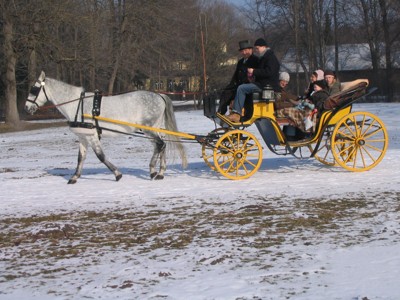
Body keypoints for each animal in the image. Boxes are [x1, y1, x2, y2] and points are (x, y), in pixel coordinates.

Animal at [24, 71, 188, 183]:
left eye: (34, 89)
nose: (26, 108)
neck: (77, 105)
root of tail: (159, 95)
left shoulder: (92, 136)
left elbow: (100, 156)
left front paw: (117, 174)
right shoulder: (83, 137)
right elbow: (80, 158)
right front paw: (74, 177)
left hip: (148, 129)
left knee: (160, 144)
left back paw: (153, 170)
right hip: (155, 128)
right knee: (162, 145)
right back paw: (160, 173)